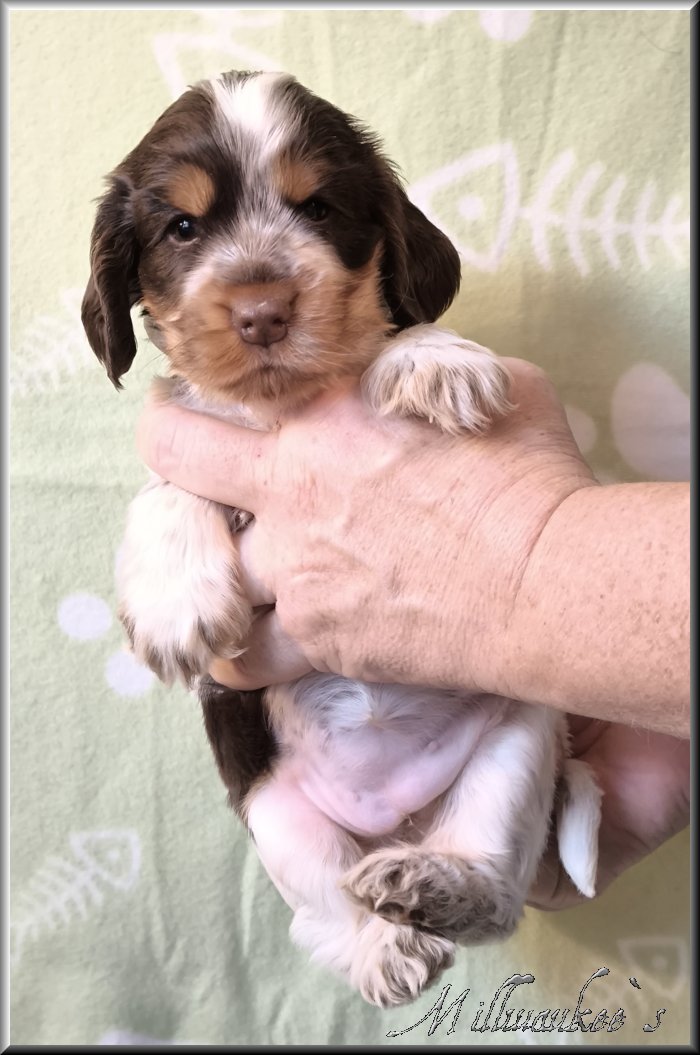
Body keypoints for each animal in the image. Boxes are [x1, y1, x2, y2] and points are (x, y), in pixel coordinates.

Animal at [81, 70, 602, 1008]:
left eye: (319, 209)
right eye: (182, 228)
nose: (261, 313)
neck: (281, 406)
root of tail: (395, 817)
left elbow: (396, 328)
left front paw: (432, 357)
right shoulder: (192, 438)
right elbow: (166, 486)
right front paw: (176, 597)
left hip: (520, 735)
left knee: (496, 891)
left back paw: (431, 882)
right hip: (274, 810)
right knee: (328, 912)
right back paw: (384, 945)